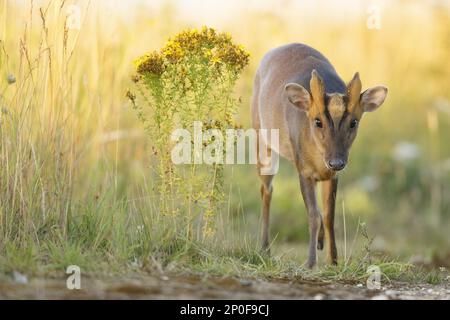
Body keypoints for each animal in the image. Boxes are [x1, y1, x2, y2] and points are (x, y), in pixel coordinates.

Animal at [251, 42, 388, 268]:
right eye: (317, 121)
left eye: (354, 122)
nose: (337, 161)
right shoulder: (303, 170)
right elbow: (313, 215)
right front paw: (310, 262)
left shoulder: (332, 176)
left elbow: (329, 215)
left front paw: (333, 261)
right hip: (261, 137)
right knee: (266, 189)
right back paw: (264, 249)